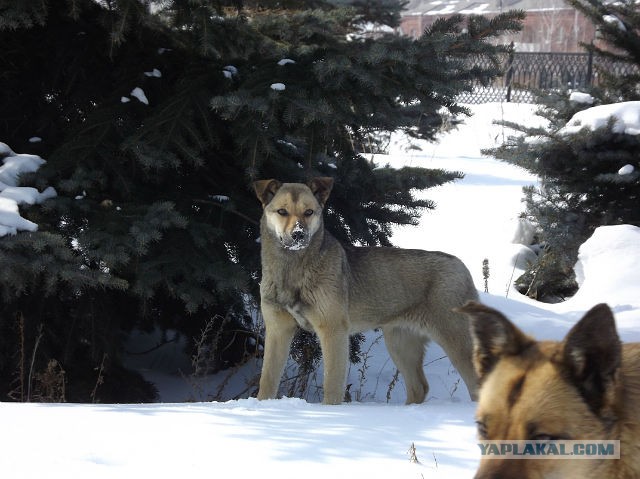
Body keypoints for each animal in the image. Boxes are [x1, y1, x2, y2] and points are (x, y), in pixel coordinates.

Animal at [252, 177, 478, 404]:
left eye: (309, 212)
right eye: (282, 211)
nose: (299, 235)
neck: (292, 270)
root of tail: (462, 267)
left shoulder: (333, 329)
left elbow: (332, 385)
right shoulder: (278, 329)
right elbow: (267, 381)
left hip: (456, 340)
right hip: (400, 342)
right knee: (419, 387)